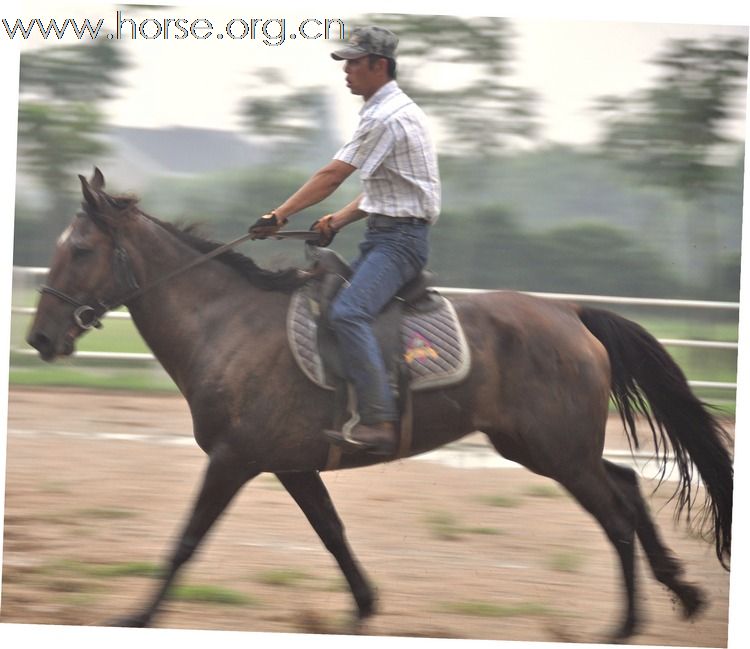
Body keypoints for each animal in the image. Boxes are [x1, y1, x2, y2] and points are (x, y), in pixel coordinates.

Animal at [25, 170, 736, 640]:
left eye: (80, 249)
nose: (39, 338)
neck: (228, 325)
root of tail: (570, 314)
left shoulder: (232, 459)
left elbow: (186, 540)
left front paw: (136, 616)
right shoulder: (289, 463)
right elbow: (333, 534)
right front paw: (364, 607)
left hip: (554, 451)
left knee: (615, 514)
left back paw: (627, 623)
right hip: (551, 447)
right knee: (627, 487)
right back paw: (682, 592)